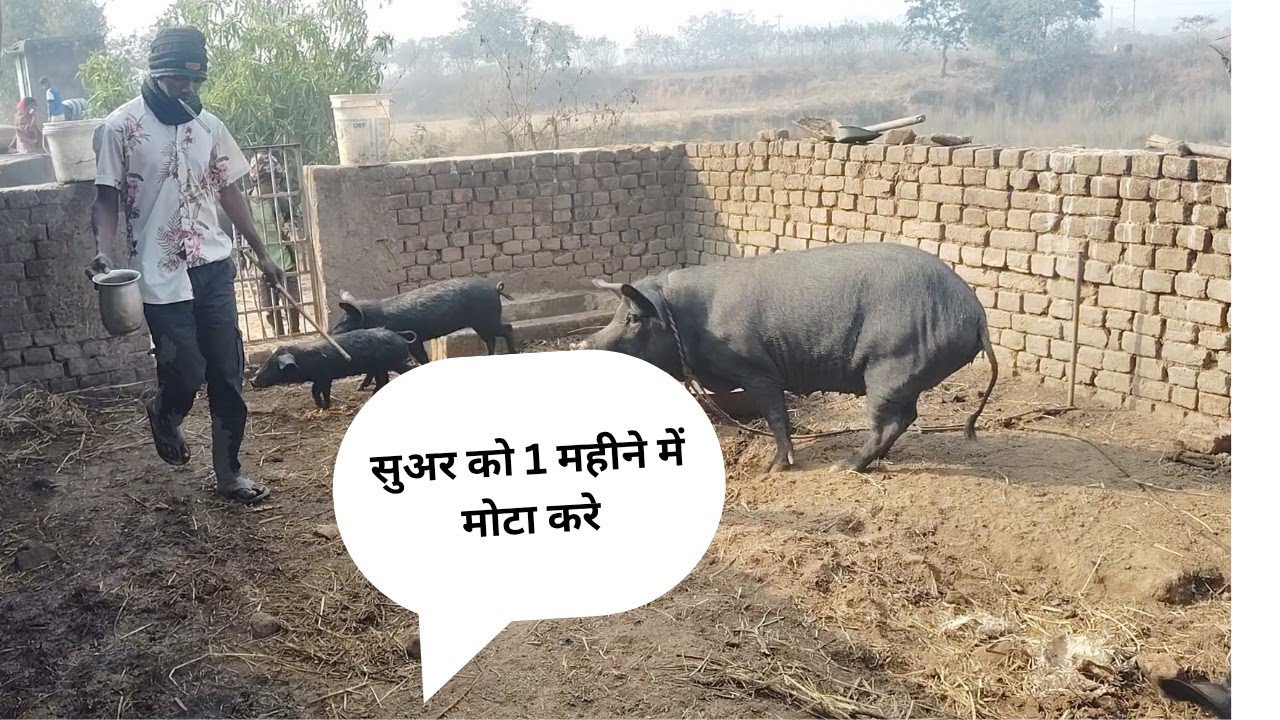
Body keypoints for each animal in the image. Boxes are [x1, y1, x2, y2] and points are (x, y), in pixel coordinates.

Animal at [250, 328, 420, 409]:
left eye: (272, 365)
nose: (252, 380)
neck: (303, 360)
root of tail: (402, 339)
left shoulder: (323, 376)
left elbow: (315, 390)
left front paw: (323, 406)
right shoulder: (325, 378)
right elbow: (324, 390)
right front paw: (327, 405)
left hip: (392, 363)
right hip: (381, 367)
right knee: (382, 381)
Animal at [331, 278, 520, 389]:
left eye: (345, 321)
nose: (330, 332)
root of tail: (495, 289)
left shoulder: (413, 340)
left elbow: (421, 357)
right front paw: (360, 388)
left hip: (487, 321)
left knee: (507, 329)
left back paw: (512, 352)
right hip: (481, 324)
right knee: (492, 339)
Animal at [577, 242, 999, 474]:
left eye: (633, 318)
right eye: (617, 315)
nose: (581, 345)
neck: (686, 321)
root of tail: (977, 316)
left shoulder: (757, 369)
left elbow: (777, 416)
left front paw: (773, 468)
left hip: (891, 364)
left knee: (889, 421)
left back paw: (843, 467)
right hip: (904, 373)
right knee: (906, 417)